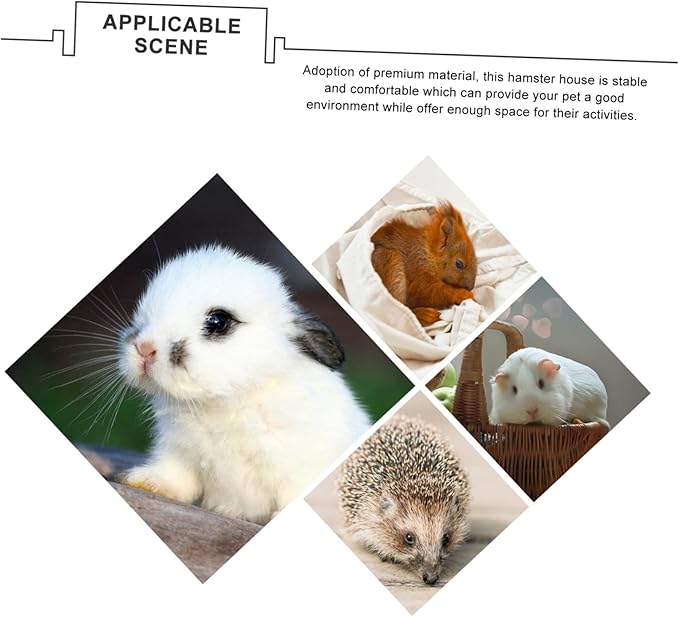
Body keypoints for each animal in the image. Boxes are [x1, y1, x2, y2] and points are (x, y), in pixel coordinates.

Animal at [118, 245, 371, 524]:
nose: (144, 348)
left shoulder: (300, 467)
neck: (229, 402)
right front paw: (144, 482)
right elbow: (175, 477)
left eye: (218, 321)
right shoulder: (178, 452)